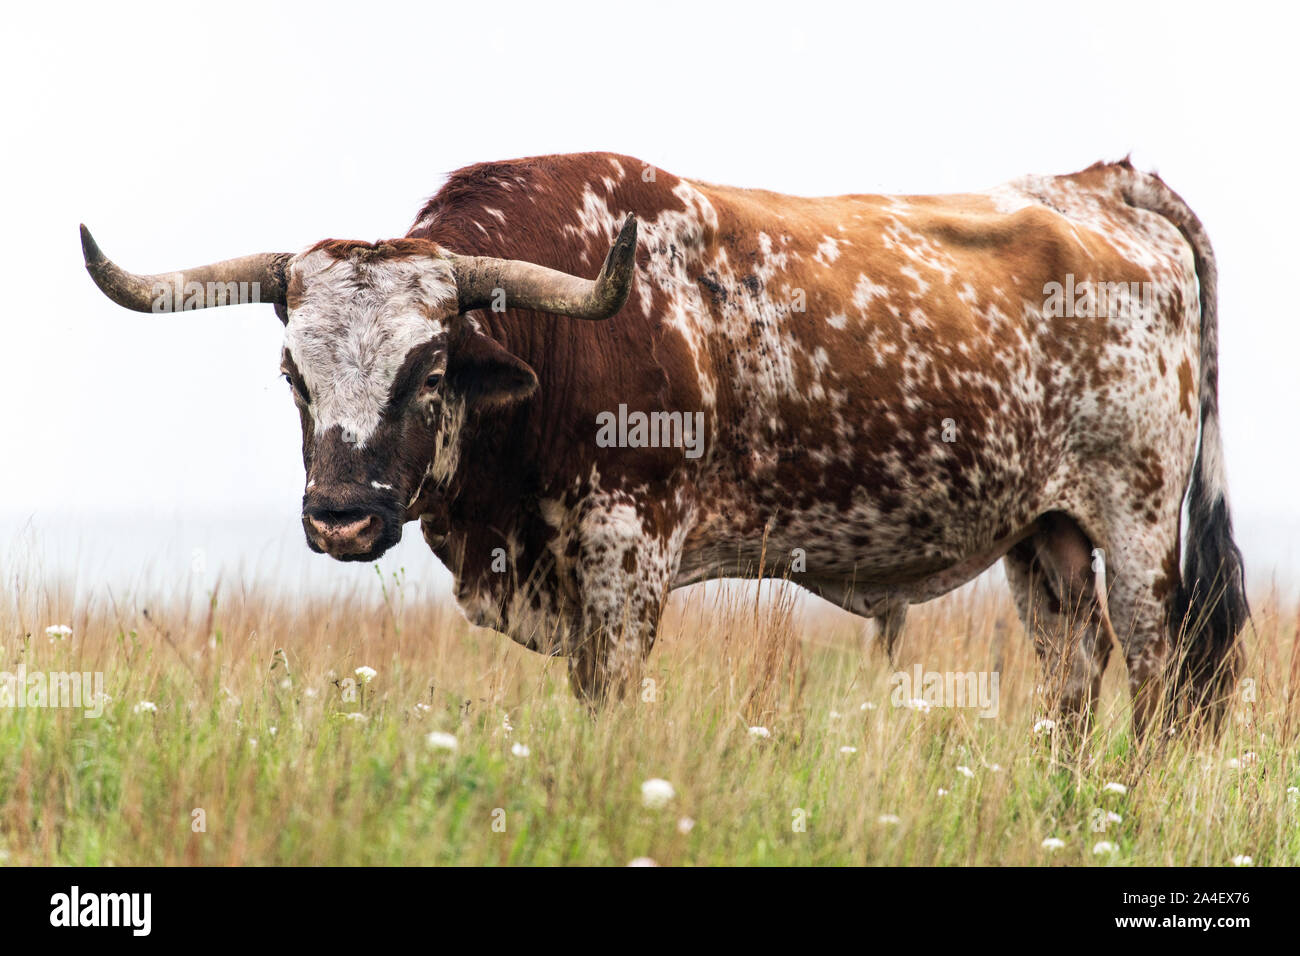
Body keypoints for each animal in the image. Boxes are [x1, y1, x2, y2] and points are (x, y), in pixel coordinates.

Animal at [81, 153, 1248, 733]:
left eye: (429, 370)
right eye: (294, 374)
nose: (341, 518)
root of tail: (1097, 184)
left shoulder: (625, 557)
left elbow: (609, 701)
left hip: (1139, 525)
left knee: (1155, 676)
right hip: (1042, 533)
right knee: (1073, 672)